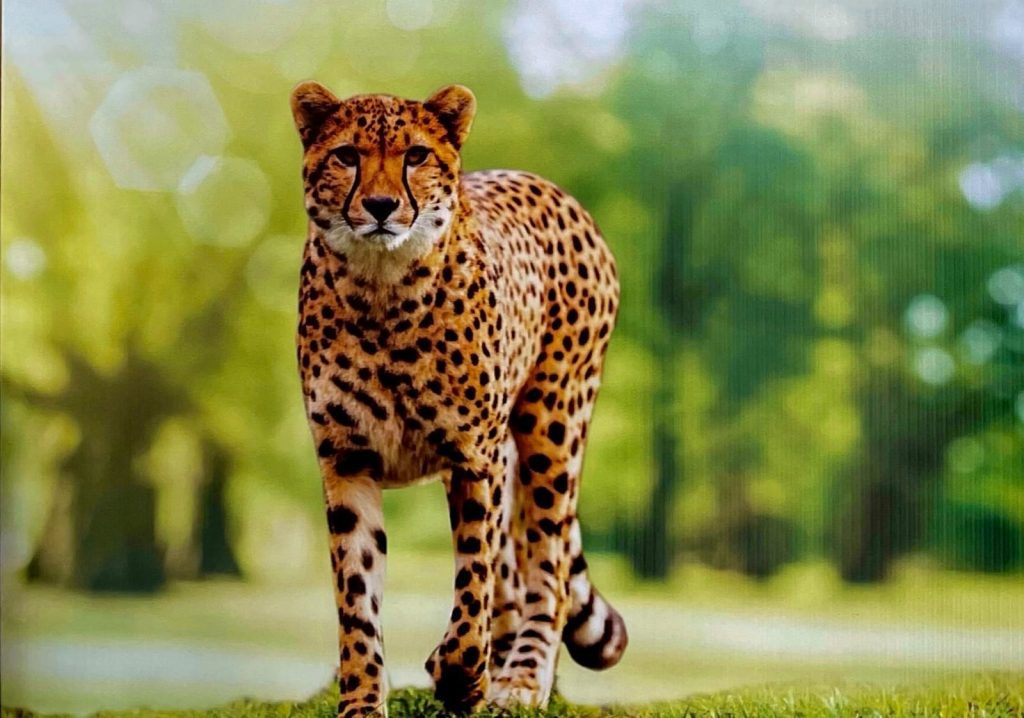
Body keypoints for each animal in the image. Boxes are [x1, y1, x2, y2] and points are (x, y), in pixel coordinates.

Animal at [290, 81, 628, 717]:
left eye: (416, 156)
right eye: (346, 155)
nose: (380, 206)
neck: (382, 288)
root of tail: (551, 188)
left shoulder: (474, 457)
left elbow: (473, 582)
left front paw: (458, 676)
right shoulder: (347, 463)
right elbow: (357, 597)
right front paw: (363, 700)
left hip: (552, 426)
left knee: (545, 568)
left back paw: (521, 679)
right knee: (516, 576)